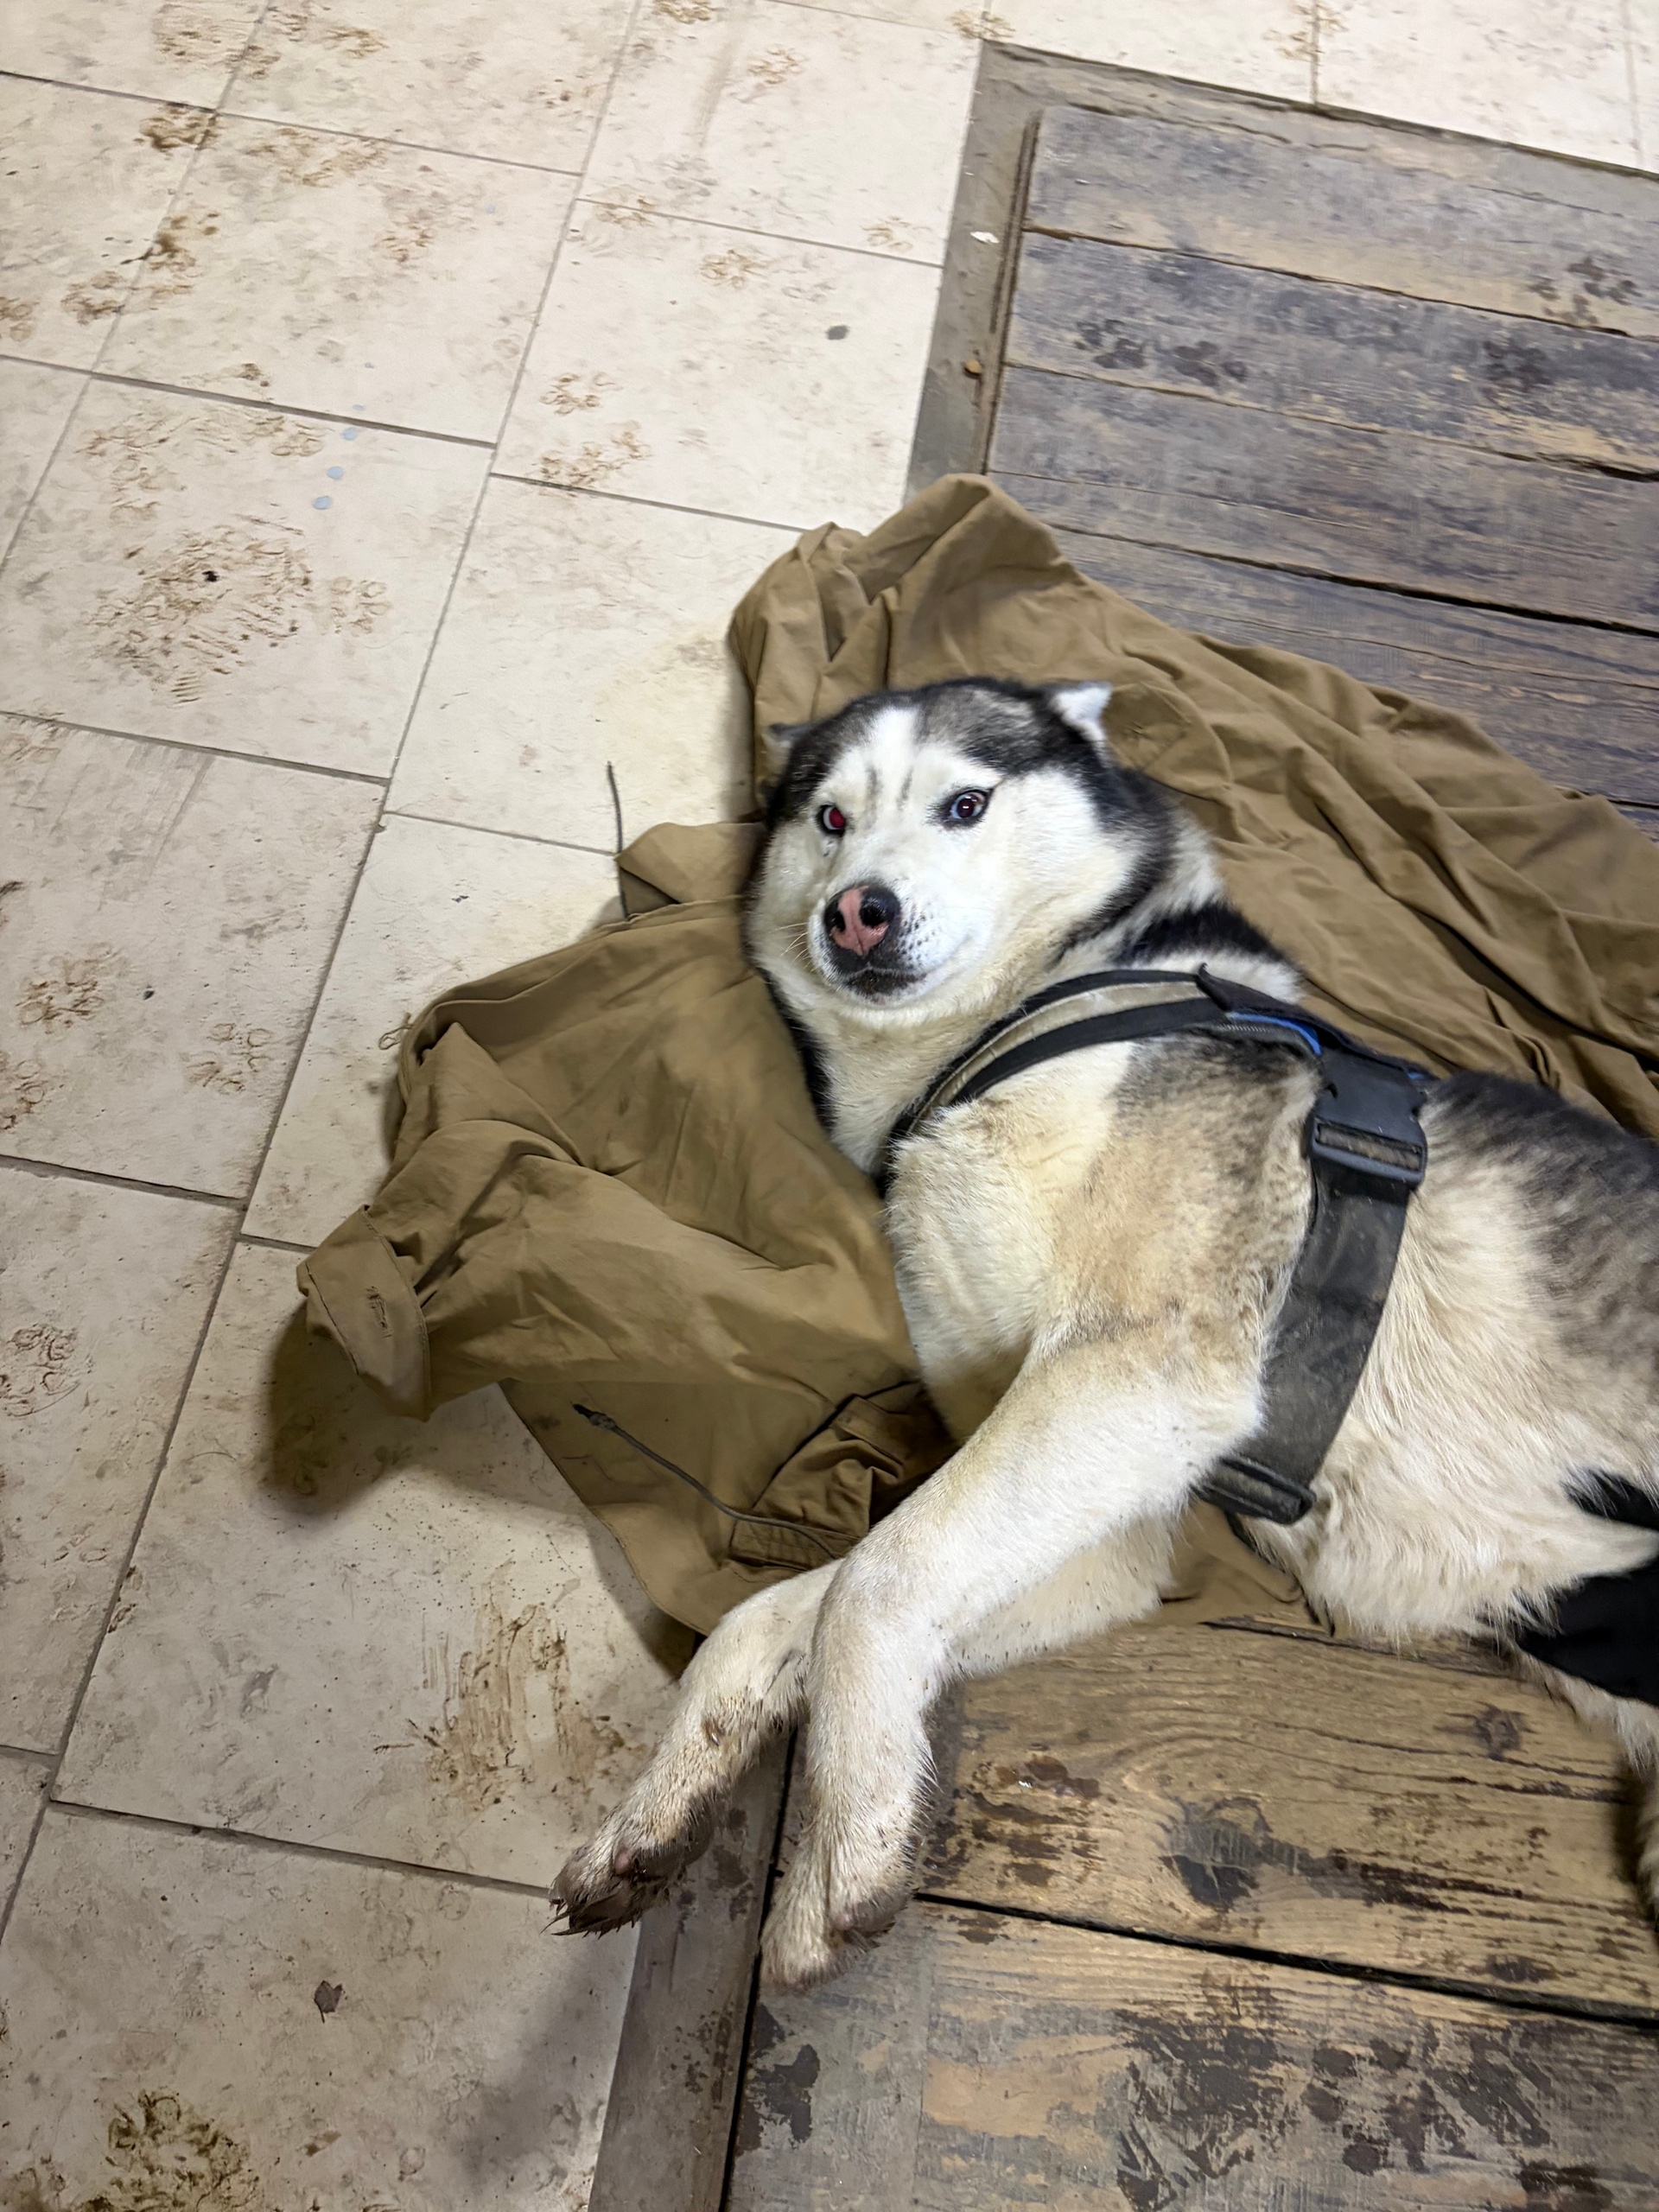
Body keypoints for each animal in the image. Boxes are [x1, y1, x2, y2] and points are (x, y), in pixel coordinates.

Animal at [555, 676, 1659, 1990]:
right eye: (829, 819)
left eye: (964, 803)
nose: (857, 910)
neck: (1002, 1032)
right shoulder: (1112, 1520)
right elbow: (782, 1614)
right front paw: (659, 1811)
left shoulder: (1144, 1371)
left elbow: (874, 1581)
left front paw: (843, 1846)